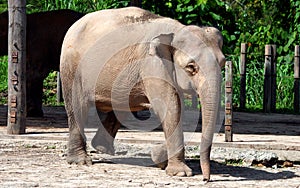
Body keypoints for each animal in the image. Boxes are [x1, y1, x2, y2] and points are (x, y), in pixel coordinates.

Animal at [60, 6, 225, 181]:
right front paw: (180, 172)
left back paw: (103, 148)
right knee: (77, 106)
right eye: (191, 67)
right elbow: (171, 107)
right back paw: (80, 161)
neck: (176, 30)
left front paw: (158, 157)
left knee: (122, 106)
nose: (206, 179)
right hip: (71, 66)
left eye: (222, 63)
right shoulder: (153, 65)